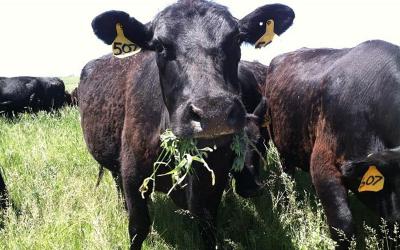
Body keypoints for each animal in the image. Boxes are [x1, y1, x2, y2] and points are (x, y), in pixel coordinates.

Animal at [80, 0, 294, 249]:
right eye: (160, 46)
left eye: (236, 39)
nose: (214, 113)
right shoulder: (133, 176)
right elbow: (138, 228)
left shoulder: (212, 185)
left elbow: (207, 230)